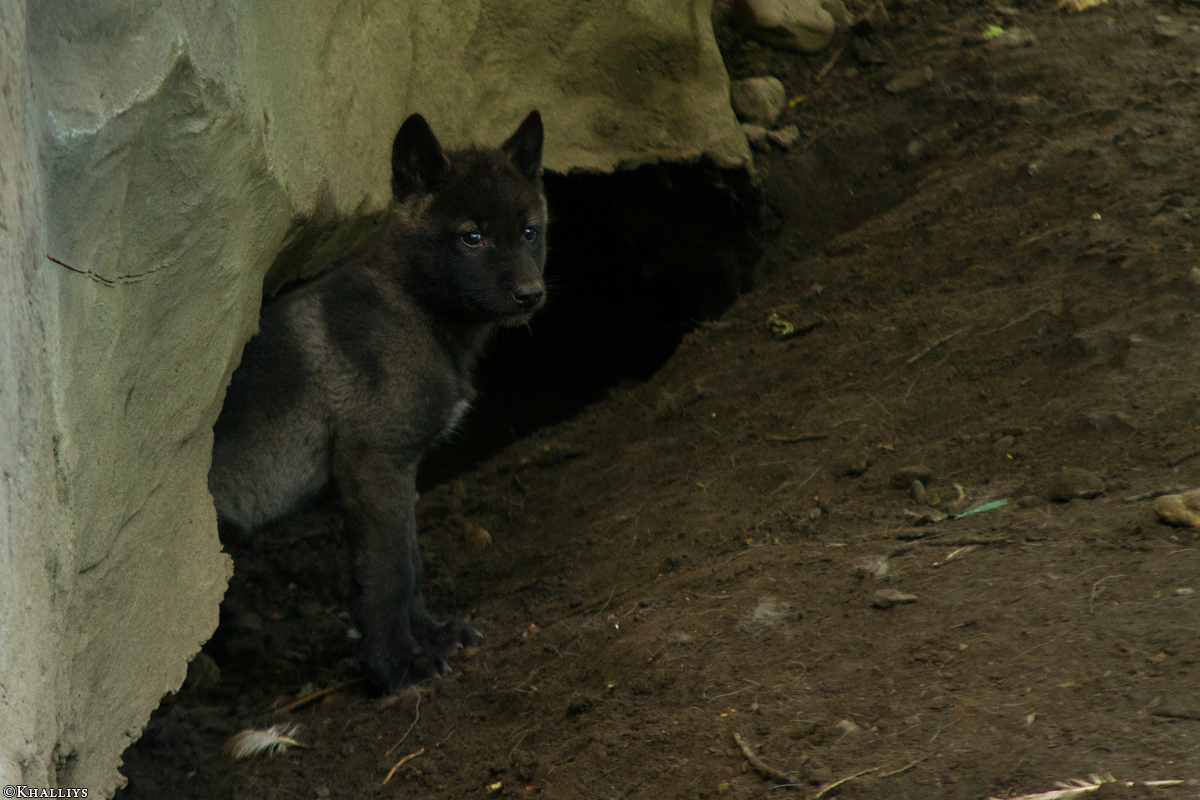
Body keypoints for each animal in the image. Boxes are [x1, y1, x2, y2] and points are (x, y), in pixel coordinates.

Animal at [208, 110, 547, 690]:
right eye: (472, 237)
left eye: (529, 231)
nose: (531, 294)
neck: (413, 306)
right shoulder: (374, 462)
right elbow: (388, 575)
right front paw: (396, 665)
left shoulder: (401, 469)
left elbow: (411, 563)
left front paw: (430, 635)